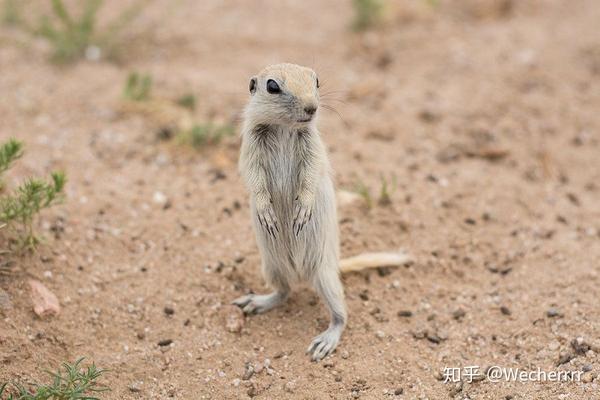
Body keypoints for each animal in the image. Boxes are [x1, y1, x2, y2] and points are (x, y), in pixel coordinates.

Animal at [234, 63, 412, 362]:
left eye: (316, 80)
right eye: (272, 86)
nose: (312, 108)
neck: (285, 128)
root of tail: (301, 275)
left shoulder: (313, 147)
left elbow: (310, 176)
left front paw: (301, 213)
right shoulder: (250, 147)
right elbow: (254, 180)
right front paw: (267, 214)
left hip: (325, 276)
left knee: (340, 315)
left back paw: (324, 342)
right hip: (271, 267)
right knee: (283, 292)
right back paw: (255, 302)